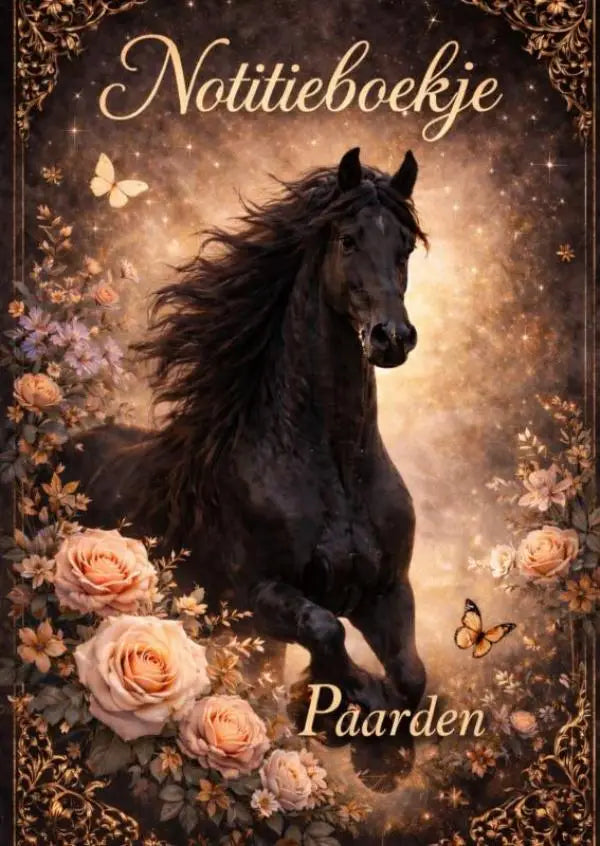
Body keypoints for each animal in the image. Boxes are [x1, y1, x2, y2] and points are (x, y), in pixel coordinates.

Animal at [71, 147, 428, 765]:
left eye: (404, 245)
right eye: (348, 239)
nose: (392, 338)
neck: (333, 472)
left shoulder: (387, 591)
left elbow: (410, 676)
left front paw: (381, 748)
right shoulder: (256, 597)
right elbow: (328, 631)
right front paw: (349, 700)